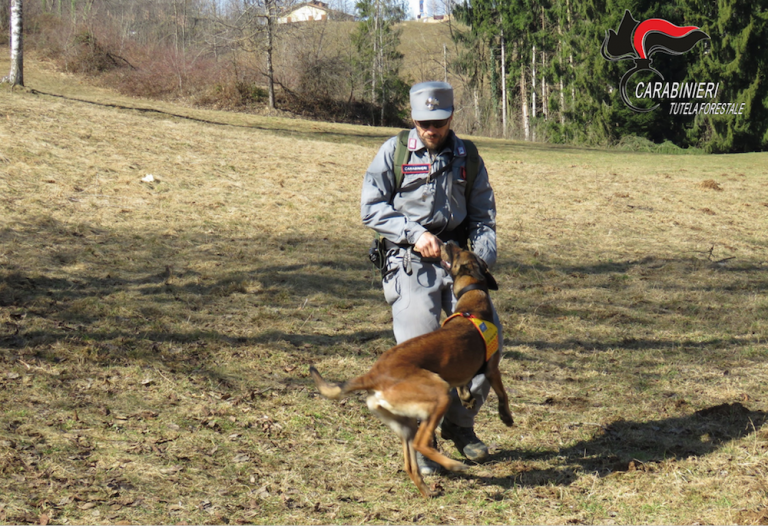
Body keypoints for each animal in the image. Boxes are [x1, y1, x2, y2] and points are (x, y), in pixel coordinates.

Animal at [308, 243, 512, 500]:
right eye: (456, 251)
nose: (447, 242)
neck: (472, 300)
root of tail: (374, 374)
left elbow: (465, 385)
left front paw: (467, 398)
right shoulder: (493, 368)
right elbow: (502, 394)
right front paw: (506, 417)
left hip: (406, 424)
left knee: (410, 463)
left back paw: (427, 491)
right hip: (439, 395)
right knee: (421, 444)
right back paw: (453, 465)